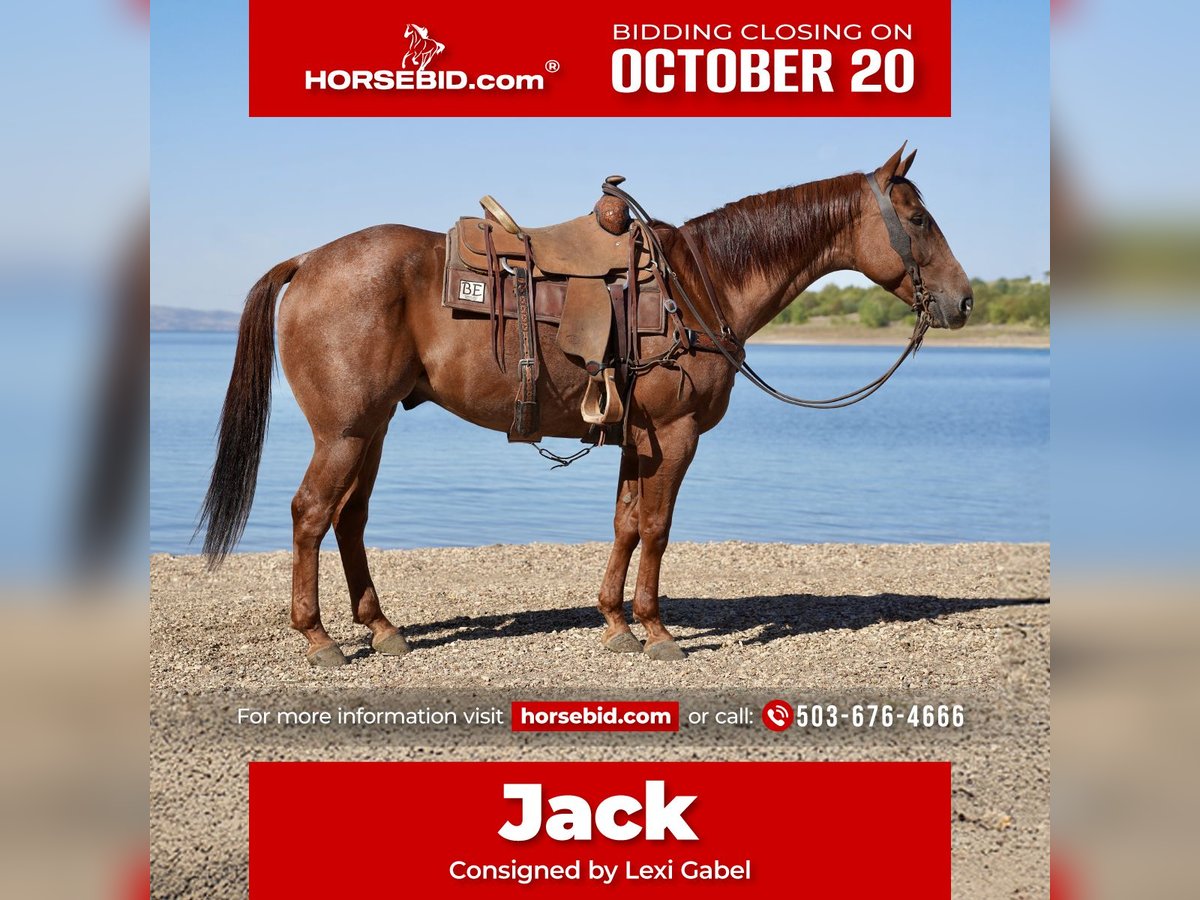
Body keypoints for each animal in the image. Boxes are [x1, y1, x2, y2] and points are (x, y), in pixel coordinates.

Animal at [198, 145, 972, 666]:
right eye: (919, 218)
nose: (962, 300)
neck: (700, 284)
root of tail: (307, 260)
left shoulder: (641, 437)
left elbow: (626, 524)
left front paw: (615, 622)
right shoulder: (676, 434)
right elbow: (656, 528)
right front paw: (657, 631)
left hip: (373, 428)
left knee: (349, 519)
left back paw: (382, 629)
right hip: (345, 430)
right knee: (310, 515)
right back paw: (319, 637)